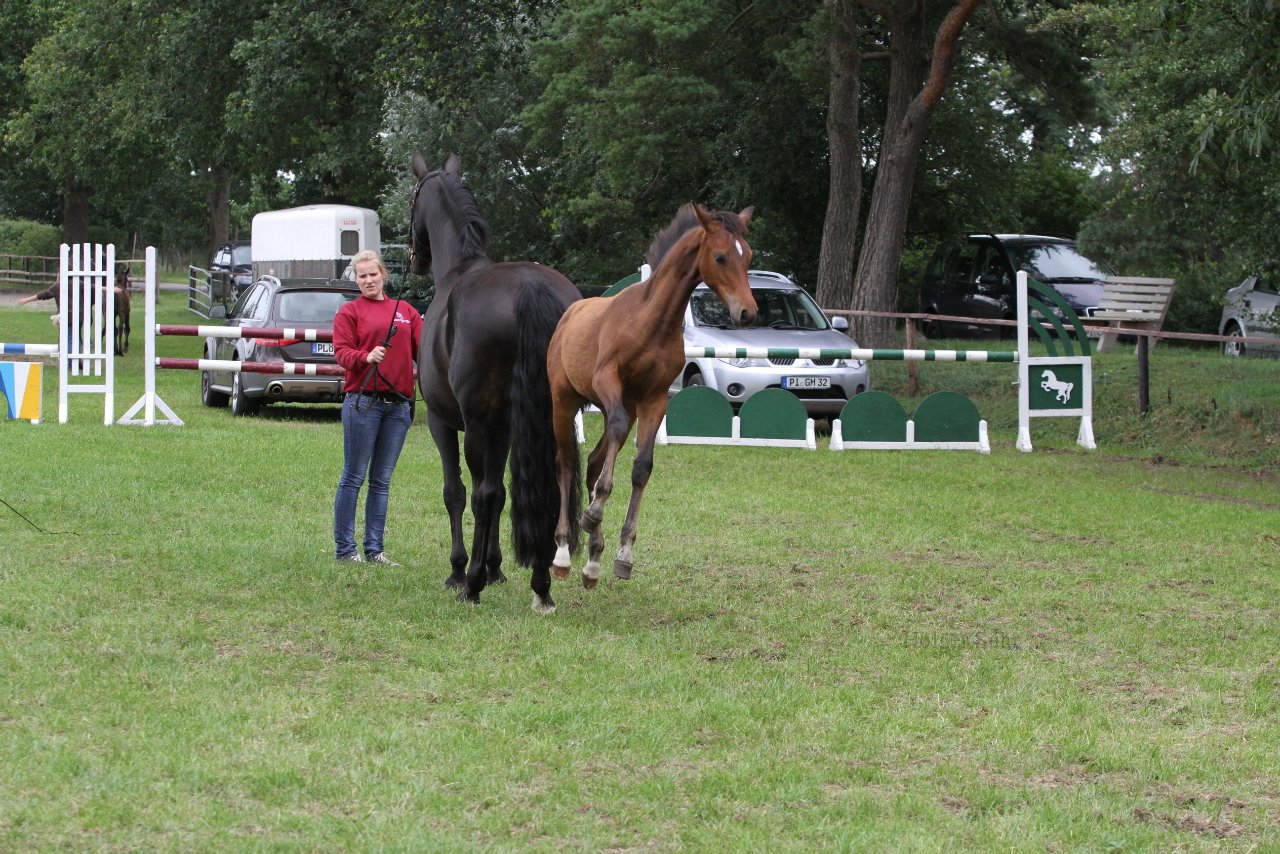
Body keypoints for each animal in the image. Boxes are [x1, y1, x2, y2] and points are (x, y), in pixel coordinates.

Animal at [407, 153, 583, 614]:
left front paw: (463, 570)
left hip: (476, 425)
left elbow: (458, 491)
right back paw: (541, 584)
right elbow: (505, 493)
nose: (414, 257)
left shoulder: (445, 423)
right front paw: (497, 568)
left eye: (413, 200)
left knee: (480, 494)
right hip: (547, 418)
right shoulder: (505, 429)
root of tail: (531, 287)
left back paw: (471, 584)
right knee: (550, 483)